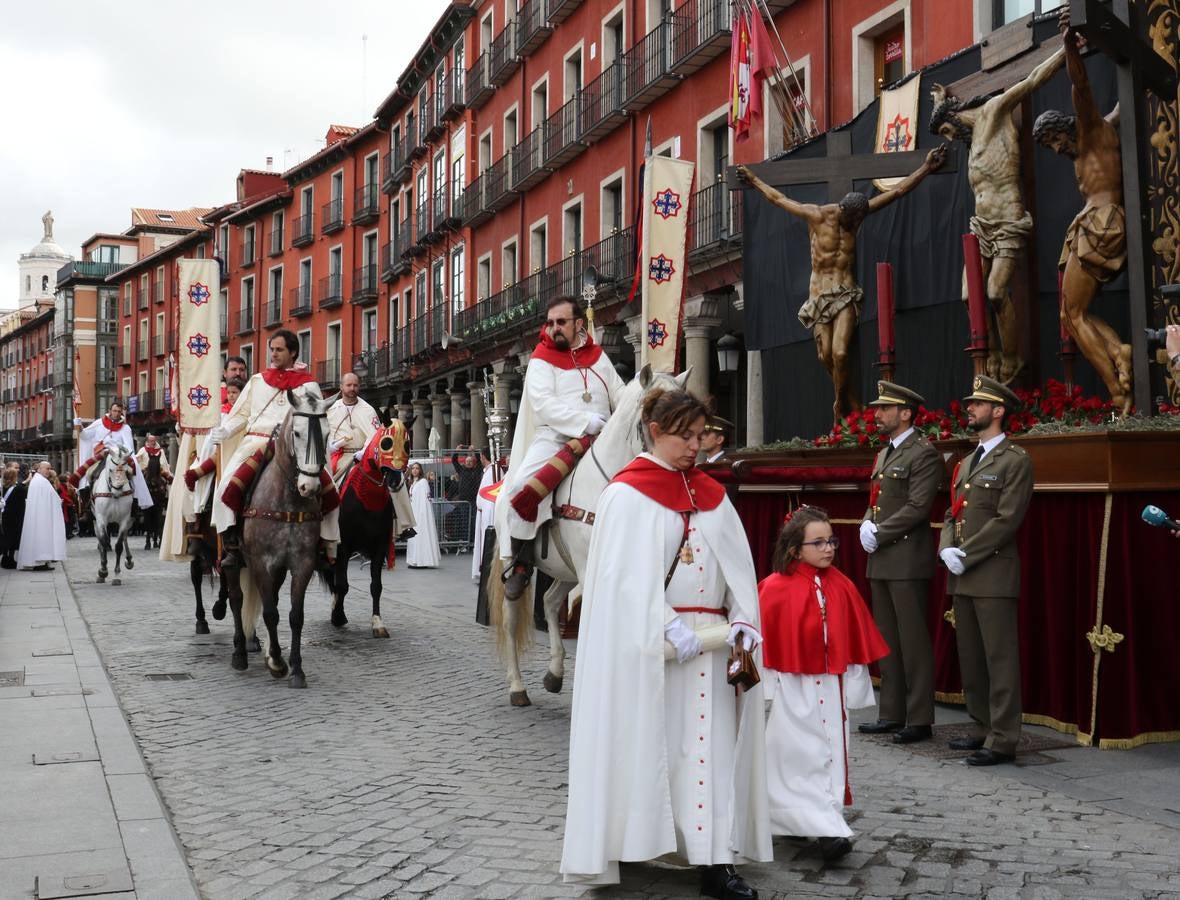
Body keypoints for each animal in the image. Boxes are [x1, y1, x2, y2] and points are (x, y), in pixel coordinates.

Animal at [92, 441, 135, 585]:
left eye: (126, 470)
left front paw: (116, 575)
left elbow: (119, 546)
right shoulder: (101, 519)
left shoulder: (124, 520)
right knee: (101, 540)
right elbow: (104, 542)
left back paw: (129, 560)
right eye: (111, 469)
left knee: (125, 538)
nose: (118, 490)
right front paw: (103, 571)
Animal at [223, 389, 335, 688]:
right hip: (234, 562)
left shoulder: (301, 563)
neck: (288, 500)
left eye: (327, 432)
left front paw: (295, 668)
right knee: (236, 599)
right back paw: (240, 652)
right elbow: (270, 613)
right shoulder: (260, 563)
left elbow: (295, 616)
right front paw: (276, 662)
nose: (310, 486)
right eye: (296, 432)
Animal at [490, 363, 689, 707]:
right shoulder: (592, 570)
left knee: (550, 601)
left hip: (566, 570)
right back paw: (517, 686)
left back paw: (555, 674)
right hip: (524, 564)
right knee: (511, 614)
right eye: (655, 413)